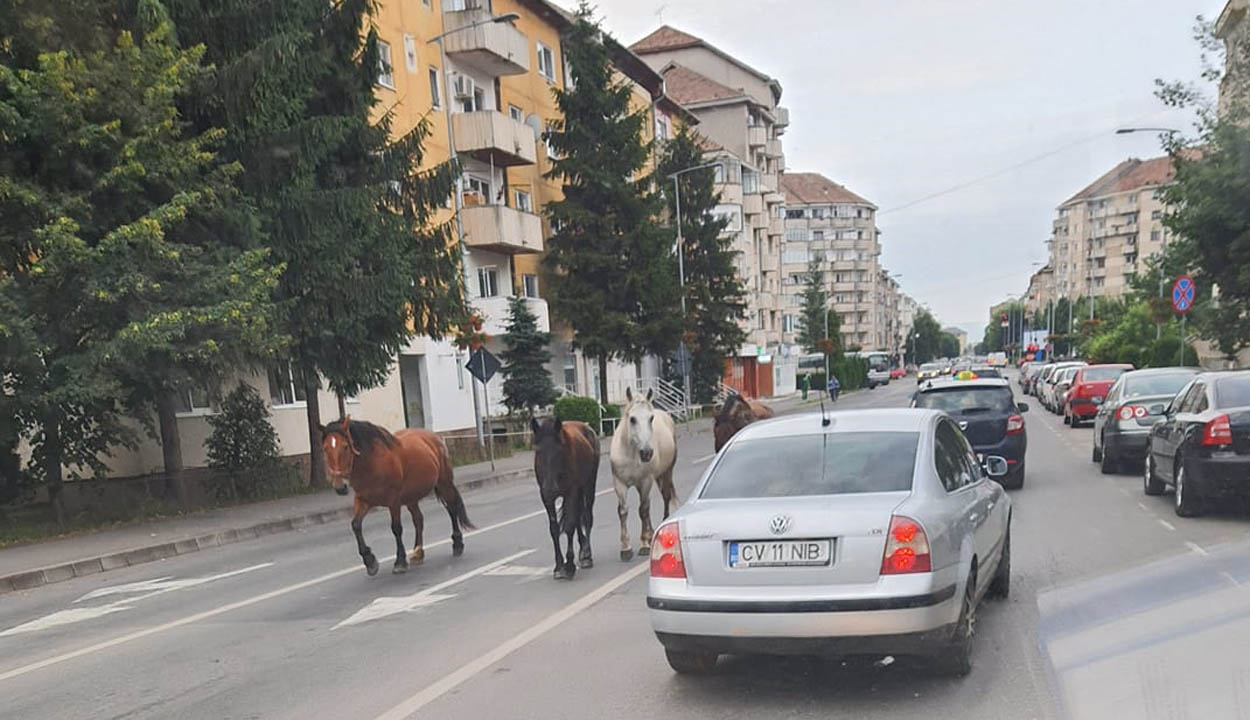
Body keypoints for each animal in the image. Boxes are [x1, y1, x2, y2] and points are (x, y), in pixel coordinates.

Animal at [322, 415, 472, 575]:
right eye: (325, 448)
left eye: (345, 446)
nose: (340, 486)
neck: (371, 463)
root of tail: (432, 436)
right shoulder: (363, 500)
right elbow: (356, 525)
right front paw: (369, 561)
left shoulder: (393, 501)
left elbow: (396, 528)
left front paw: (400, 561)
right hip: (411, 497)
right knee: (418, 519)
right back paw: (418, 553)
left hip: (444, 483)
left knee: (451, 509)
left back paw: (457, 544)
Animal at [532, 415, 600, 580]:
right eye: (538, 451)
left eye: (558, 450)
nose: (550, 487)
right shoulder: (546, 498)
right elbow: (554, 529)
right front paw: (558, 566)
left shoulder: (571, 492)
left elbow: (569, 526)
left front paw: (569, 565)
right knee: (578, 519)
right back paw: (582, 549)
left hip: (588, 485)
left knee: (587, 517)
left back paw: (587, 555)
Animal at [610, 387, 680, 562]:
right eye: (632, 419)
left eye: (651, 418)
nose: (647, 453)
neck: (631, 453)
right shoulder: (619, 483)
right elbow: (623, 511)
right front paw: (626, 548)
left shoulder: (645, 481)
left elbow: (642, 510)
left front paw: (644, 545)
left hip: (666, 473)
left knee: (663, 497)